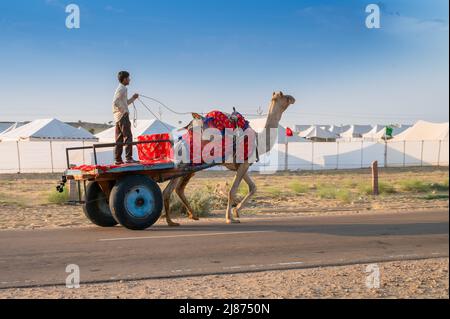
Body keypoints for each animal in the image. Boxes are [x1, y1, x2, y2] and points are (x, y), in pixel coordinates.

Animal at [162, 90, 296, 226]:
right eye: (284, 96)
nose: (293, 98)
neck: (259, 140)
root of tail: (177, 145)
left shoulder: (242, 165)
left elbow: (252, 187)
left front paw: (236, 211)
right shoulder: (243, 164)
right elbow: (233, 190)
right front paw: (229, 218)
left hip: (190, 167)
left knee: (178, 189)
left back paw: (188, 216)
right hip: (184, 164)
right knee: (169, 190)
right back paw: (172, 221)